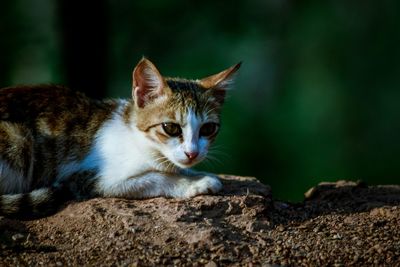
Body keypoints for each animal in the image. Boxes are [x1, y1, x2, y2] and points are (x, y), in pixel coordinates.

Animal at [0, 57, 241, 219]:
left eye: (208, 129)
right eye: (171, 128)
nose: (192, 153)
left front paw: (195, 172)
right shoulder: (88, 178)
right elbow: (157, 178)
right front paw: (195, 182)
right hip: (18, 138)